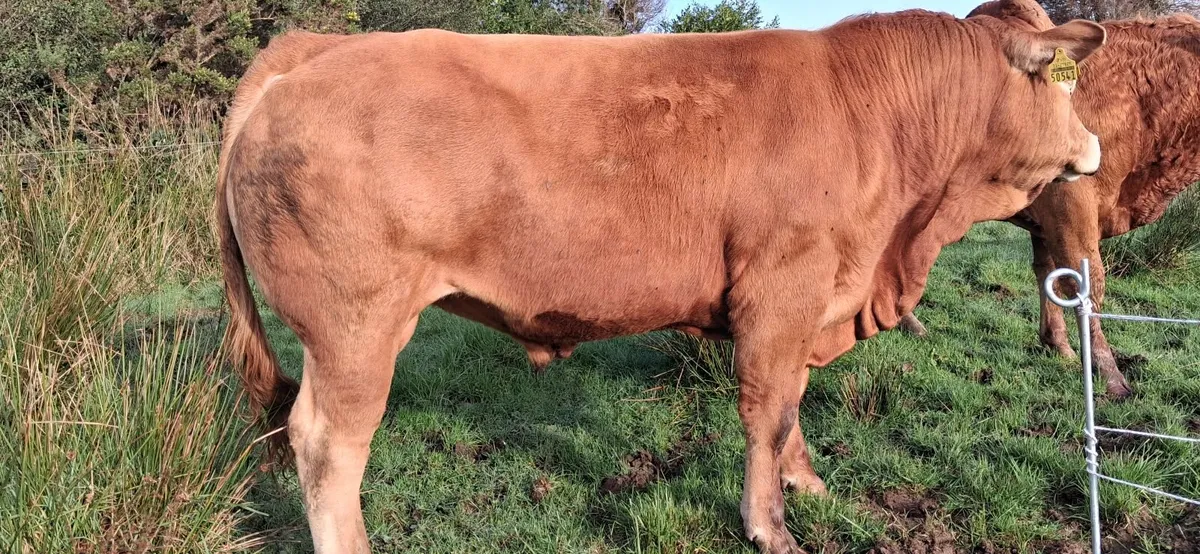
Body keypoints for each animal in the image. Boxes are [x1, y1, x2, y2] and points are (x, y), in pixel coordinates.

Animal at [217, 12, 1105, 553]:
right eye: (1061, 81)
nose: (1094, 145)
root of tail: (313, 48)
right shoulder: (782, 288)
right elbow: (767, 410)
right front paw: (771, 525)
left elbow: (792, 407)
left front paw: (807, 483)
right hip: (353, 328)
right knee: (327, 444)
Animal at [899, 0, 1200, 399]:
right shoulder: (1071, 209)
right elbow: (1088, 285)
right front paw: (1109, 374)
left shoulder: (1047, 220)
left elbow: (1050, 277)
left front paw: (1057, 343)